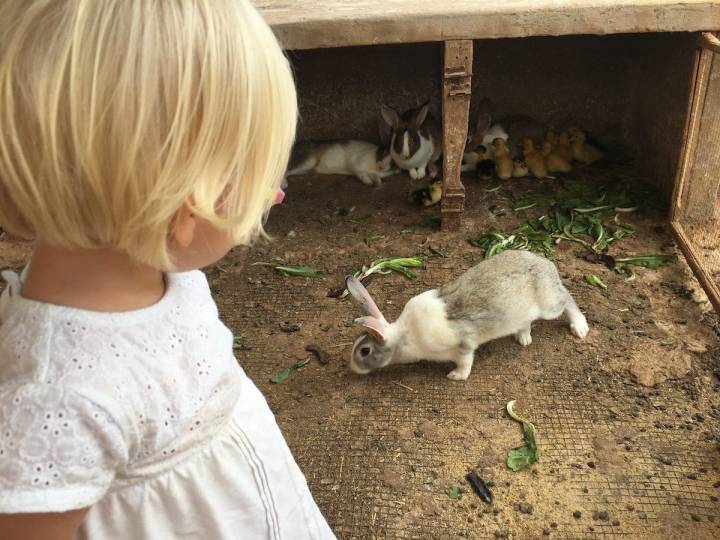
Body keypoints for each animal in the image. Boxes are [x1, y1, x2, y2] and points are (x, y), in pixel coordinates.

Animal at [346, 251, 588, 382]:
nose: (352, 368)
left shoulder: (463, 345)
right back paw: (523, 337)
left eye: (364, 351)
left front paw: (456, 376)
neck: (403, 337)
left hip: (550, 306)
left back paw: (580, 327)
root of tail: (546, 264)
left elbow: (465, 362)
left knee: (567, 299)